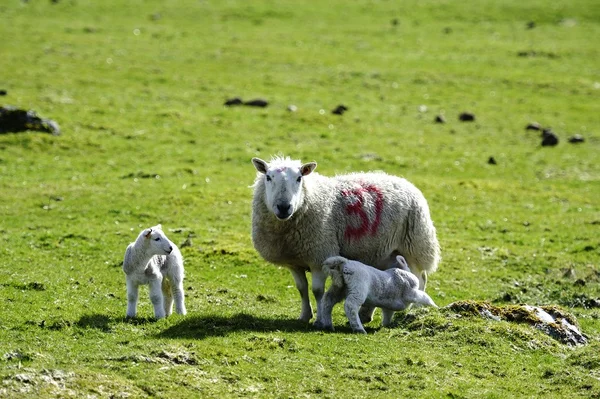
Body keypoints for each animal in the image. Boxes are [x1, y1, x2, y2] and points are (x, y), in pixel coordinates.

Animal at [250, 155, 440, 330]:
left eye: (299, 178)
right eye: (268, 177)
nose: (283, 207)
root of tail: (403, 181)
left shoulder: (320, 256)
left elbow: (317, 292)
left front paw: (320, 320)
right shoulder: (294, 262)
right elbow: (302, 289)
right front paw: (304, 316)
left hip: (414, 246)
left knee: (420, 278)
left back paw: (415, 311)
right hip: (386, 253)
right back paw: (366, 314)